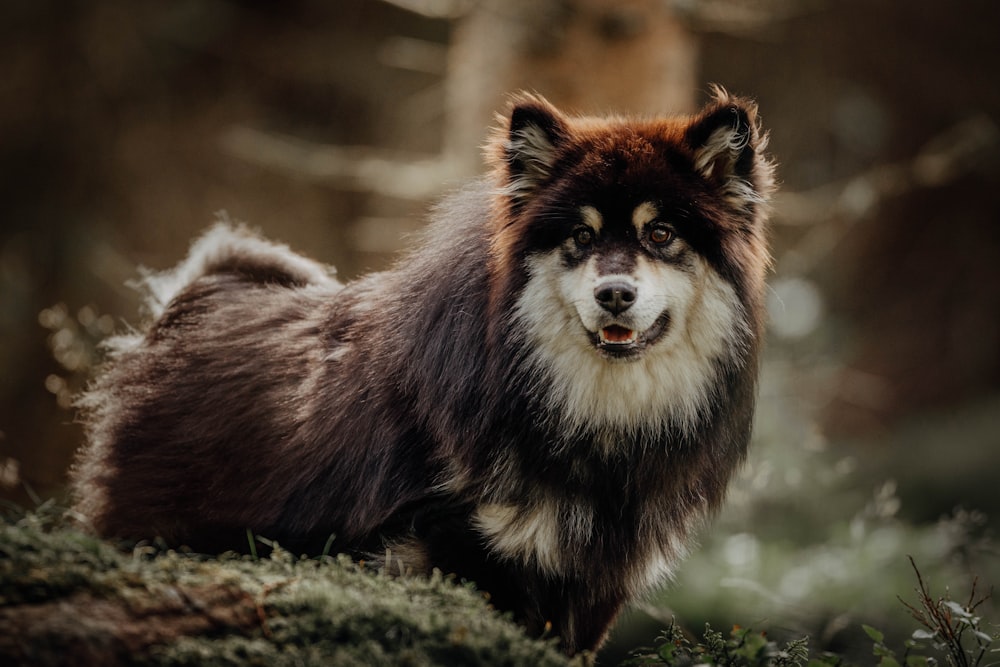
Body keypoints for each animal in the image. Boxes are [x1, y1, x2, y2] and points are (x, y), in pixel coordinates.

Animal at [72, 86, 772, 656]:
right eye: (580, 236)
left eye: (660, 234)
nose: (615, 294)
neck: (586, 418)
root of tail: (198, 298)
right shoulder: (454, 551)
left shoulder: (591, 584)